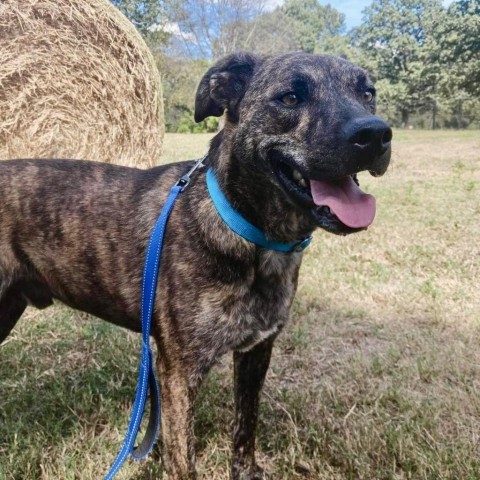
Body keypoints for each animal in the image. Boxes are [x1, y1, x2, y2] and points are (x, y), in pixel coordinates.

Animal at [0, 50, 390, 478]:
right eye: (290, 97)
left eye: (367, 93)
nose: (376, 134)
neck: (251, 237)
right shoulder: (179, 375)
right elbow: (183, 458)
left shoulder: (256, 352)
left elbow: (245, 429)